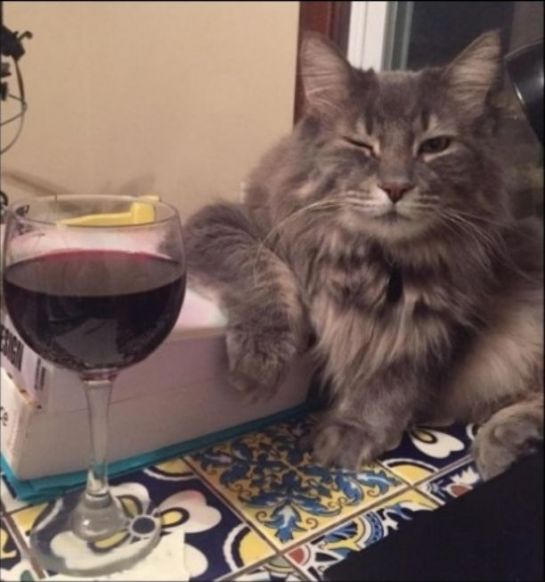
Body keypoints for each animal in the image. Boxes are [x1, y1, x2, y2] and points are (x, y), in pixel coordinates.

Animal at [185, 31, 543, 480]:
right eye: (360, 144)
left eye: (435, 146)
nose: (395, 187)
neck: (373, 263)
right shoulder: (224, 225)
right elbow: (262, 272)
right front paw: (262, 358)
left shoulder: (431, 330)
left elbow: (389, 383)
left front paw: (354, 429)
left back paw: (502, 439)